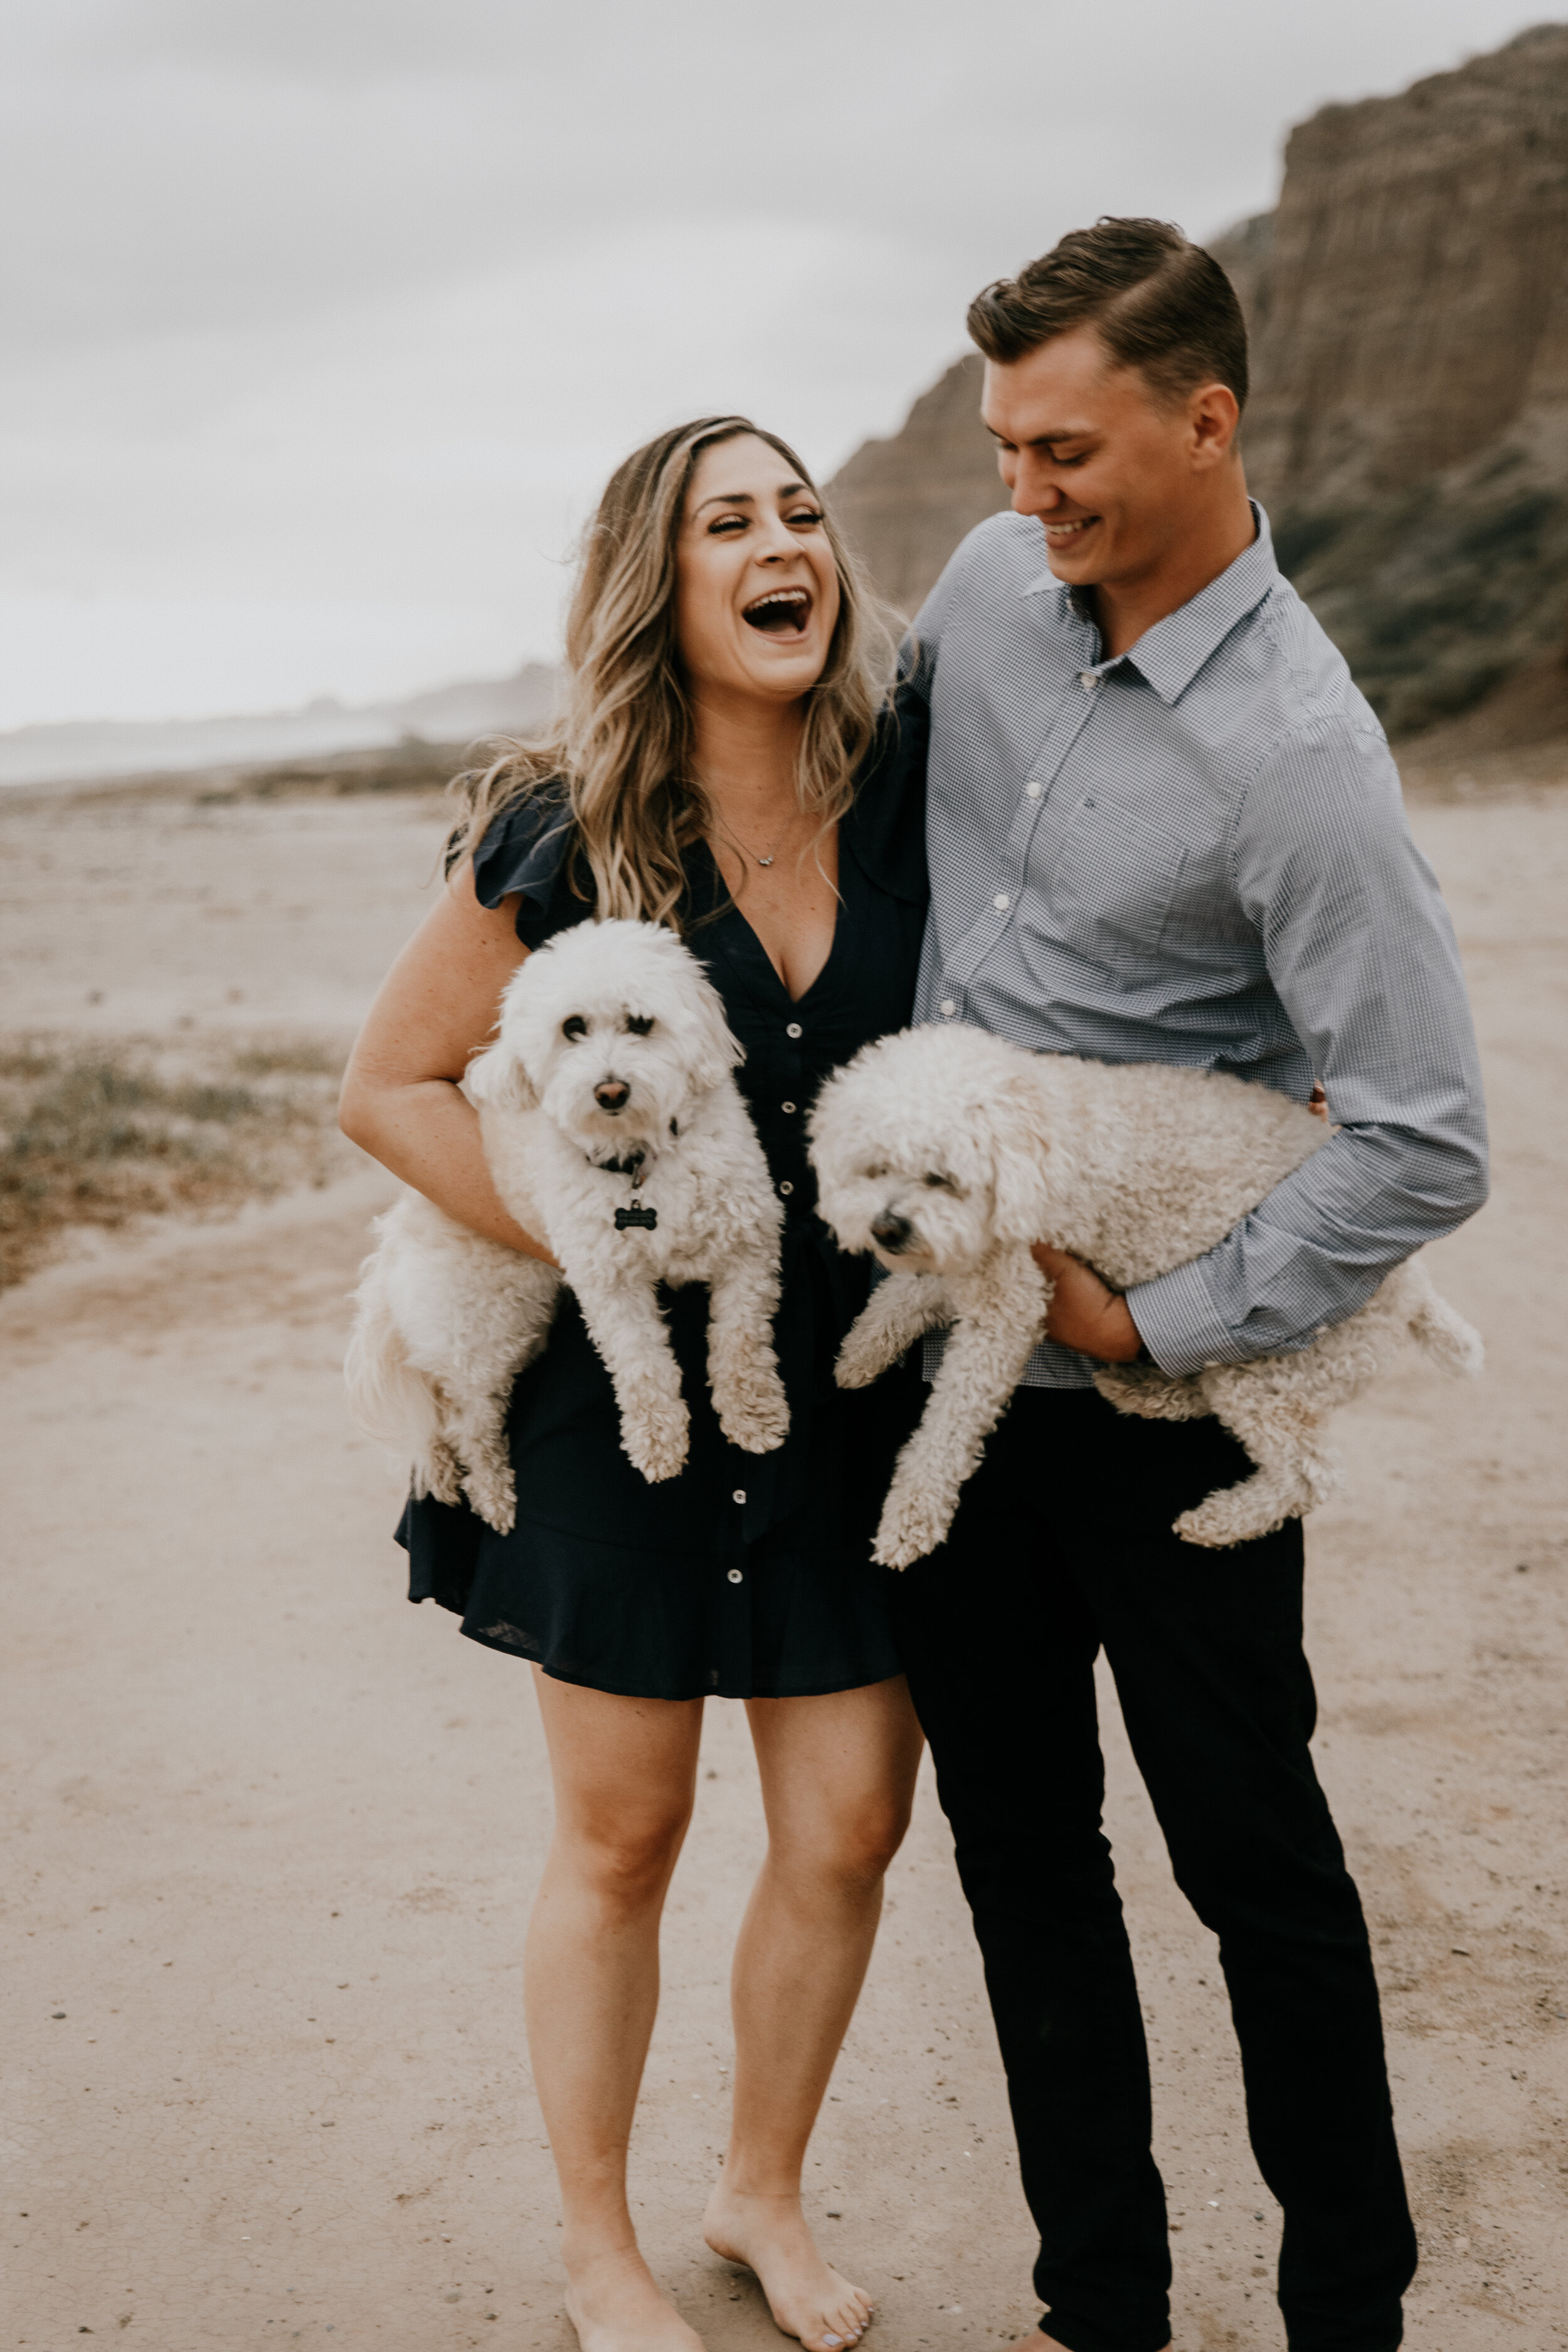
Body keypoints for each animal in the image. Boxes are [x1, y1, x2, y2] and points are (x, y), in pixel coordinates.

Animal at [343, 908, 785, 1534]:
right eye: (572, 1028)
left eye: (641, 1023)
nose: (610, 1089)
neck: (639, 1162)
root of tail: (394, 1241)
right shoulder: (610, 1283)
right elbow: (642, 1368)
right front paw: (657, 1442)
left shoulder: (748, 1246)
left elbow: (741, 1342)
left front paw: (753, 1415)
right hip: (485, 1323)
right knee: (466, 1416)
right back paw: (490, 1494)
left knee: (439, 1400)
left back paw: (441, 1471)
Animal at [808, 1025, 1485, 1562]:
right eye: (875, 1168)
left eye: (941, 1177)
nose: (886, 1229)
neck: (1031, 1125)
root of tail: (1415, 1290)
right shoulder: (972, 1257)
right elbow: (908, 1295)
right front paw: (860, 1353)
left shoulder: (1011, 1298)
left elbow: (949, 1425)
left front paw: (910, 1517)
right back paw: (1146, 1391)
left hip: (1271, 1370)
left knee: (1312, 1473)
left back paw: (1221, 1520)